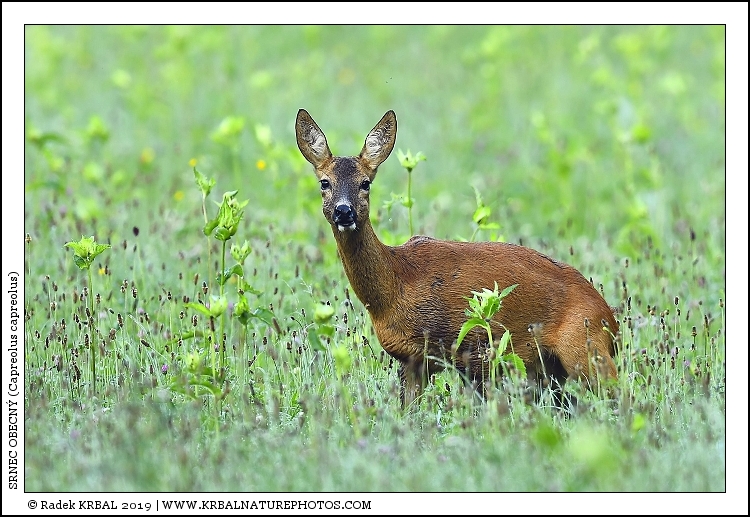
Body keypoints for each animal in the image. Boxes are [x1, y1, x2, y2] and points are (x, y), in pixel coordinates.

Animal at [295, 108, 619, 407]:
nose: (344, 211)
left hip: (585, 348)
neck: (397, 285)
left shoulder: (476, 346)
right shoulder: (412, 360)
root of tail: (611, 320)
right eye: (324, 182)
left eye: (366, 183)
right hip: (550, 370)